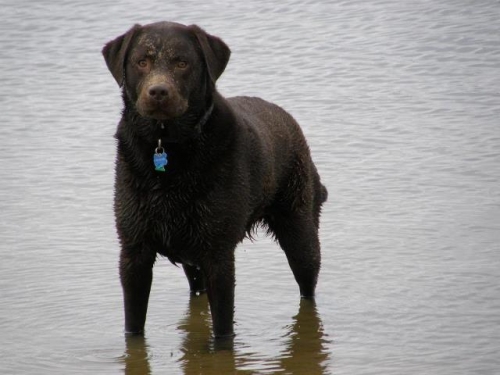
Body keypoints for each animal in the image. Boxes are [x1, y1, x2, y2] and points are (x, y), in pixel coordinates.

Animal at [102, 22, 328, 340]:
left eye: (182, 63)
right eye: (141, 61)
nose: (158, 92)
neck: (168, 146)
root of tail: (290, 121)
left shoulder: (218, 255)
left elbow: (223, 333)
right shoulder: (134, 252)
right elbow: (133, 328)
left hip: (300, 232)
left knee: (308, 287)